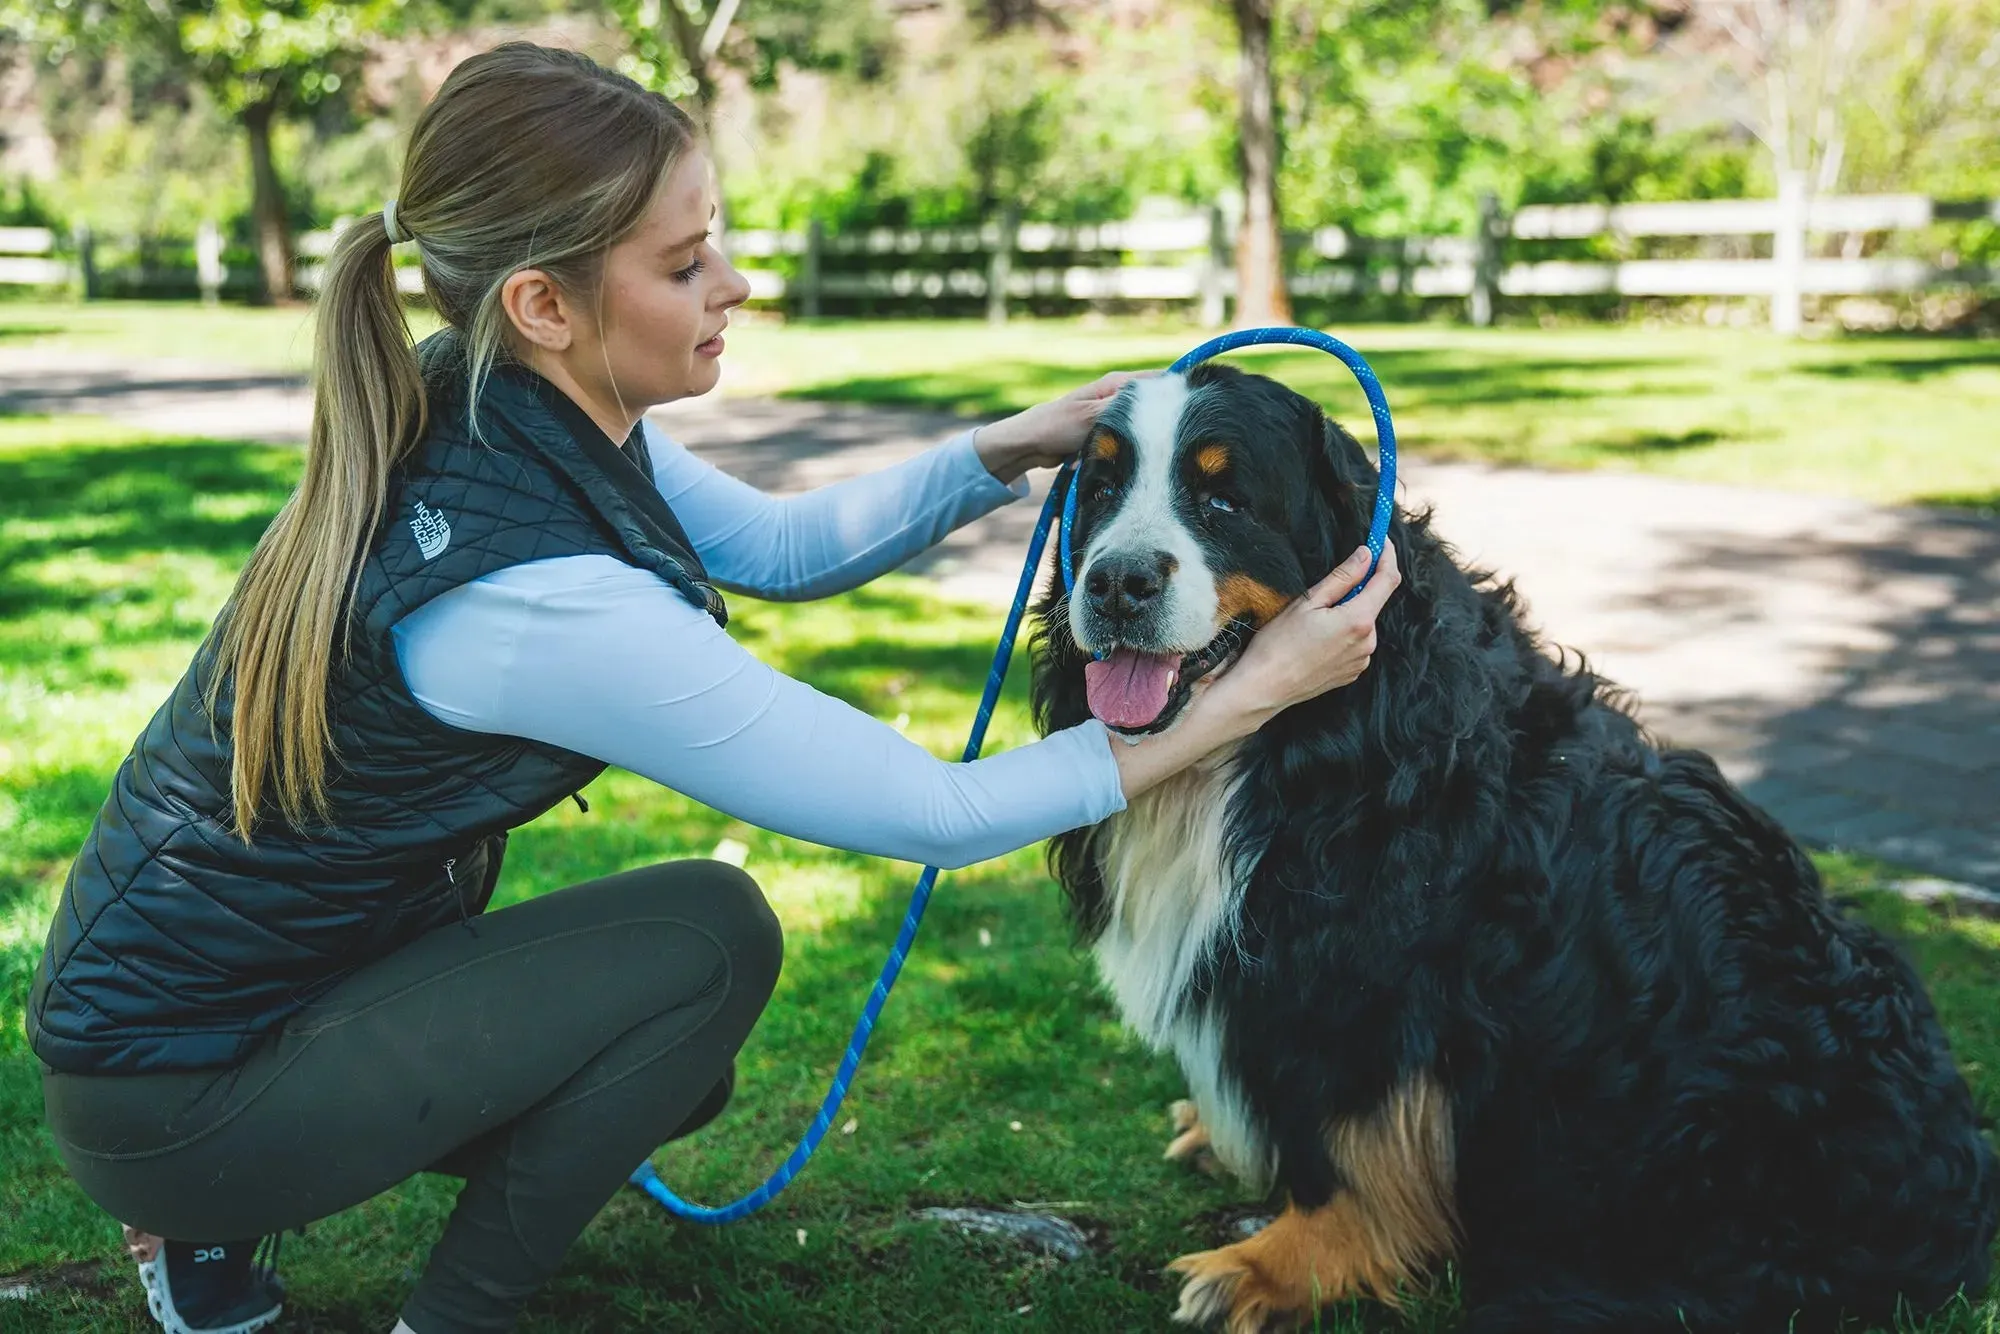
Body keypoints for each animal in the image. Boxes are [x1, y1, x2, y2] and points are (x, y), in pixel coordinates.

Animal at [1032, 360, 2000, 1328]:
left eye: (1224, 498)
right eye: (1103, 488)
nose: (1116, 583)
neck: (1290, 736)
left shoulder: (1372, 977)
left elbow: (1349, 1144)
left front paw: (1280, 1263)